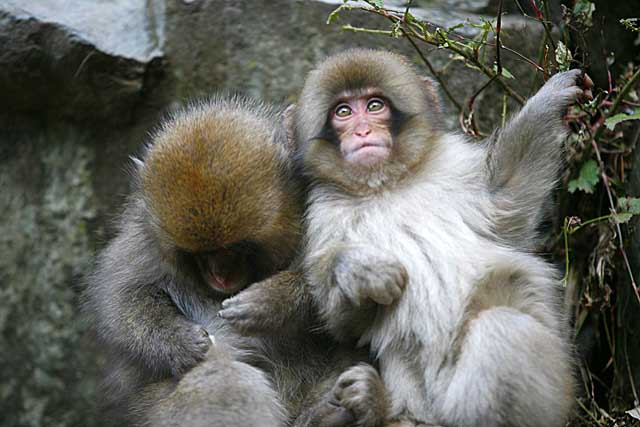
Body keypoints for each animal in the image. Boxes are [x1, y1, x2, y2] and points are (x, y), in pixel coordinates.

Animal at [225, 51, 596, 427]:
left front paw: (550, 101)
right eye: (343, 112)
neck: (386, 186)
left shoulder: (454, 165)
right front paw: (357, 270)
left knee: (502, 329)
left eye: (374, 105)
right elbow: (344, 323)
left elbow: (506, 198)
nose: (362, 130)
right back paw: (375, 404)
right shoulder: (321, 217)